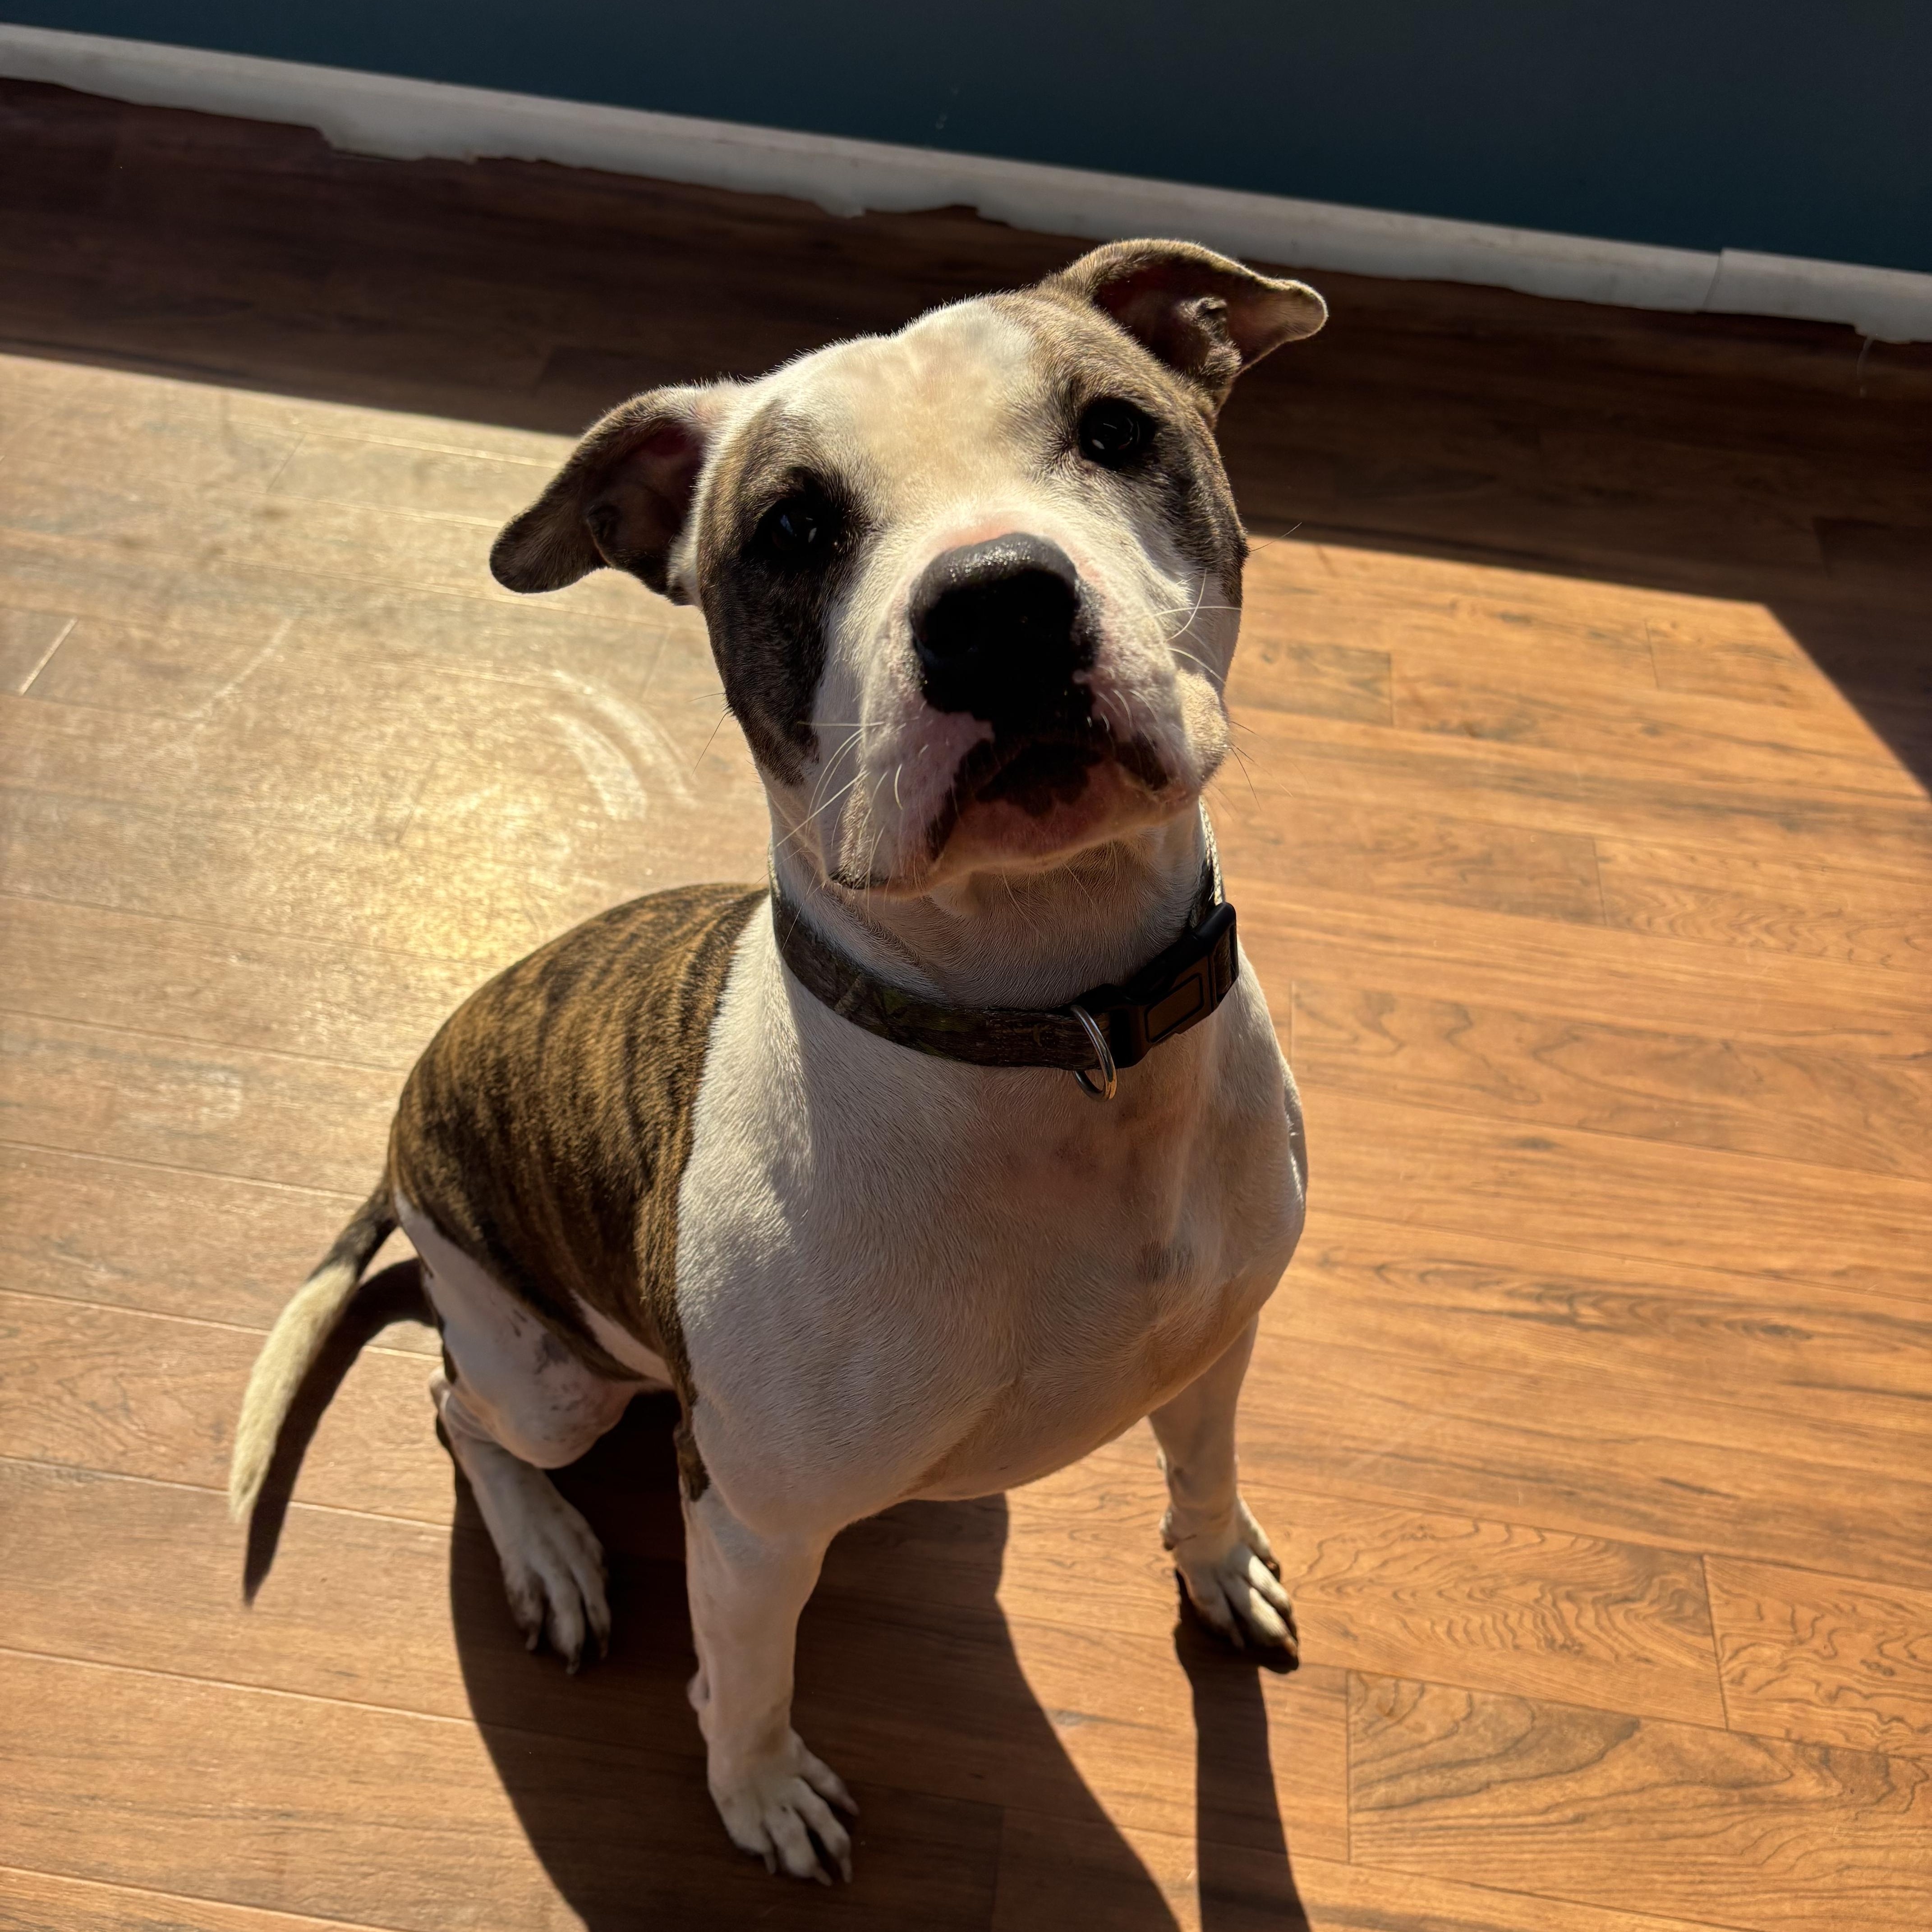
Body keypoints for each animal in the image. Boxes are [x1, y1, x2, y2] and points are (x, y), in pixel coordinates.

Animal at [232, 238, 1322, 1885]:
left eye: (1115, 430)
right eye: (793, 526)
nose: (994, 605)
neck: (1053, 1029)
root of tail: (418, 1099)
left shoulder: (1214, 1349)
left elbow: (1201, 1469)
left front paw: (1216, 1562)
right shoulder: (744, 1524)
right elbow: (743, 1676)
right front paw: (758, 1793)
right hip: (550, 1376)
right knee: (456, 1404)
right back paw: (552, 1554)